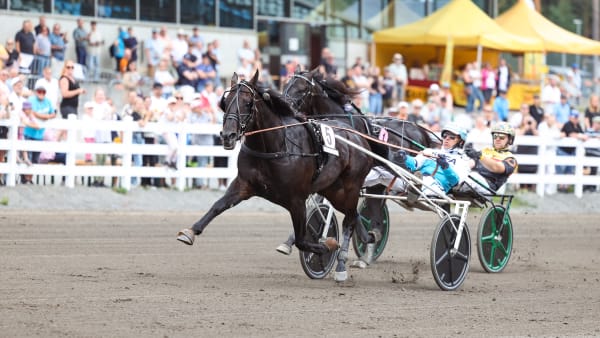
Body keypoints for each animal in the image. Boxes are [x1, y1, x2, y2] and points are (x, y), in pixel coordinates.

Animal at [177, 72, 376, 282]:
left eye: (248, 102)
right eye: (226, 101)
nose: (227, 135)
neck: (275, 146)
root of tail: (359, 138)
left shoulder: (297, 199)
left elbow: (302, 240)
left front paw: (326, 245)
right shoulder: (244, 185)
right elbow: (218, 205)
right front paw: (190, 231)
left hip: (351, 186)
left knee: (349, 220)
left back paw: (342, 265)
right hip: (333, 190)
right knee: (352, 215)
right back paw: (367, 239)